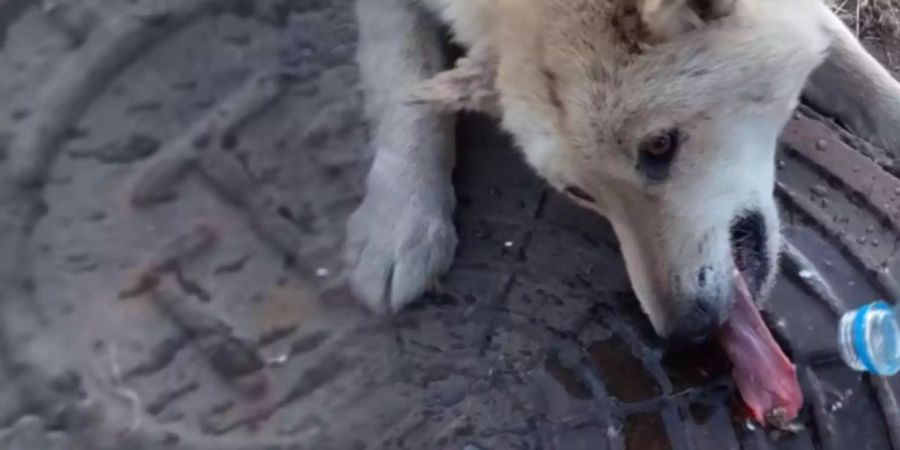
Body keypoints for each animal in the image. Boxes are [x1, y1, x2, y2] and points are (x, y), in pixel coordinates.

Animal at [342, 0, 900, 342]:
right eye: (579, 191)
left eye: (659, 145)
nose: (687, 333)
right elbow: (404, 81)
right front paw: (402, 225)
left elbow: (859, 71)